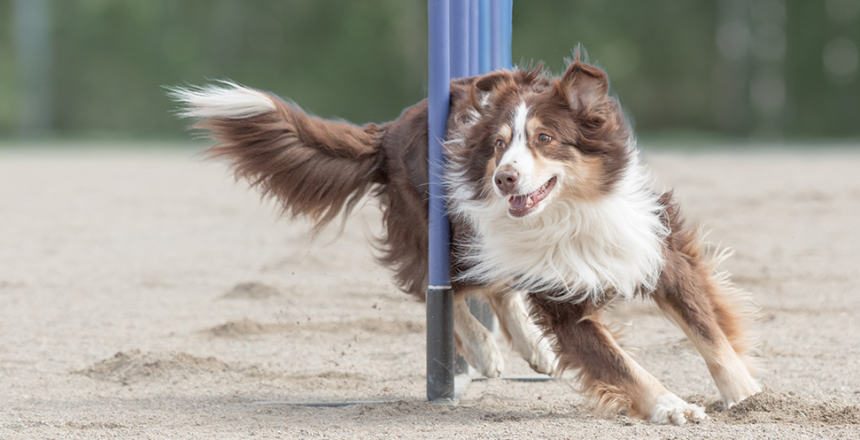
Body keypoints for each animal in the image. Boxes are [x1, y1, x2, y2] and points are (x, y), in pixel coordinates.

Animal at [171, 52, 764, 426]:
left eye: (545, 138)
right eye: (500, 145)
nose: (503, 178)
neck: (572, 213)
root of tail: (389, 130)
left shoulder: (657, 248)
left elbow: (709, 333)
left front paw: (749, 397)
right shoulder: (564, 303)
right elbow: (621, 363)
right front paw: (671, 406)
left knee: (493, 284)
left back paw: (530, 348)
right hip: (443, 229)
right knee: (440, 287)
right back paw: (482, 348)